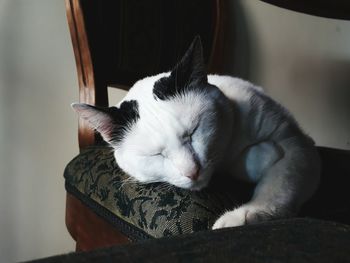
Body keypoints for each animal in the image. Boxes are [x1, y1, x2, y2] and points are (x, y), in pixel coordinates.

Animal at [72, 36, 322, 230]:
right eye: (156, 155)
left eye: (193, 133)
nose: (192, 172)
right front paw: (261, 157)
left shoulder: (297, 144)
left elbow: (280, 185)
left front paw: (243, 216)